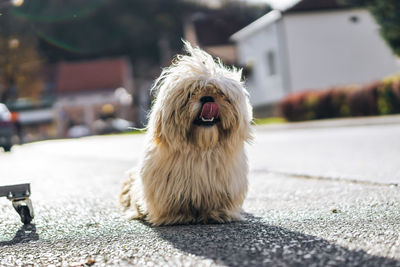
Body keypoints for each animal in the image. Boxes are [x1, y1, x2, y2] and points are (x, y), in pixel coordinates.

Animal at [119, 42, 253, 226]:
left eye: (220, 93)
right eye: (191, 93)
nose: (207, 98)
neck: (201, 149)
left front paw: (217, 214)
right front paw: (177, 216)